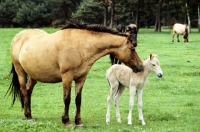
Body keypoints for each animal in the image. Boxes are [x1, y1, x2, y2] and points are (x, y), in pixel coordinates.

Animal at [6, 22, 144, 127]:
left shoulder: (81, 78)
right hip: (20, 72)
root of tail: (18, 36)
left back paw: (29, 114)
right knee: (24, 91)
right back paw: (28, 116)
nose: (141, 66)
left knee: (29, 91)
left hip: (34, 75)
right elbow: (67, 99)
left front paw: (78, 122)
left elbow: (78, 100)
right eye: (133, 48)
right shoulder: (67, 77)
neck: (80, 46)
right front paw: (66, 121)